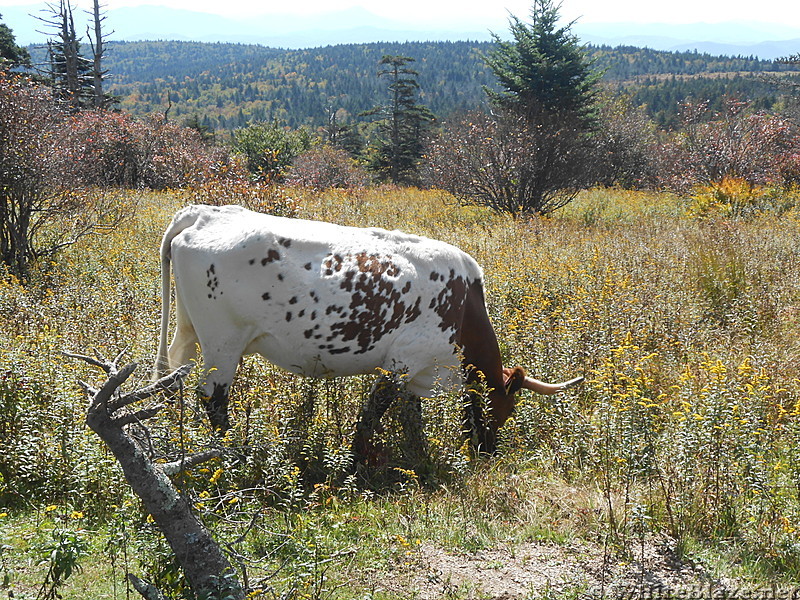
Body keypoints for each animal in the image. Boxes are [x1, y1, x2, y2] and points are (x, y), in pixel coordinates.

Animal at [155, 206, 580, 454]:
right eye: (505, 409)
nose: (488, 451)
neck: (463, 309)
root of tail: (205, 213)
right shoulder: (402, 361)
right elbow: (372, 415)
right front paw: (355, 462)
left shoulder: (415, 372)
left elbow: (411, 418)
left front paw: (418, 457)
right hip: (223, 344)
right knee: (213, 398)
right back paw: (231, 454)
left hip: (192, 334)